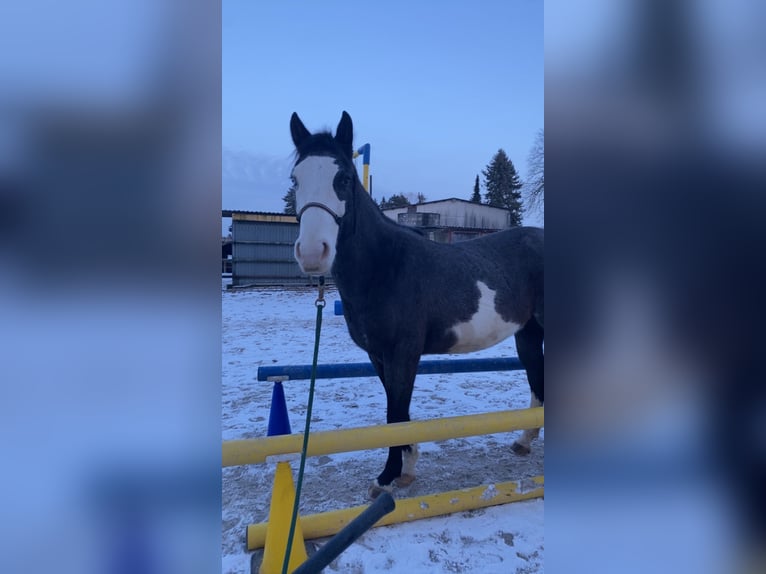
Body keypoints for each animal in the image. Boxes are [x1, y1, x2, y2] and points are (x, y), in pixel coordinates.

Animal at [288, 112, 544, 500]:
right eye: (296, 179)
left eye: (344, 178)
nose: (313, 253)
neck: (385, 266)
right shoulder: (378, 355)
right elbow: (399, 413)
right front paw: (406, 469)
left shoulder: (403, 353)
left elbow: (395, 412)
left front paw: (386, 477)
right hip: (528, 333)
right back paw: (525, 441)